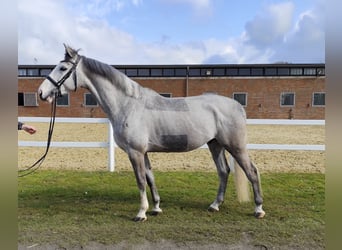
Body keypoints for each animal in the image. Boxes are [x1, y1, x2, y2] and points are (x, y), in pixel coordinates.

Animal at [38, 44, 266, 222]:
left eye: (63, 67)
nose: (41, 93)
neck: (127, 104)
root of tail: (237, 106)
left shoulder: (135, 152)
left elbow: (140, 180)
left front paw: (141, 213)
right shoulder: (144, 152)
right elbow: (150, 178)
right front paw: (156, 208)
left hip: (235, 146)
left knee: (252, 171)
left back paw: (258, 209)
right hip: (215, 144)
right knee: (223, 171)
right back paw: (215, 205)